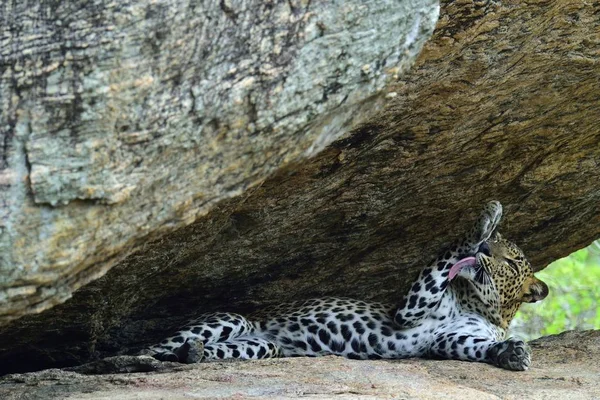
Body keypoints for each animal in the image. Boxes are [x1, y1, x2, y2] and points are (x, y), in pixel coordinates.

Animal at [144, 202, 548, 370]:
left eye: (511, 261)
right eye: (494, 245)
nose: (484, 249)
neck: (478, 306)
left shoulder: (448, 340)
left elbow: (477, 348)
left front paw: (512, 354)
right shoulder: (409, 310)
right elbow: (445, 257)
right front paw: (484, 221)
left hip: (261, 346)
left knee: (197, 350)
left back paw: (193, 354)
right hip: (232, 320)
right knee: (141, 350)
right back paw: (151, 358)